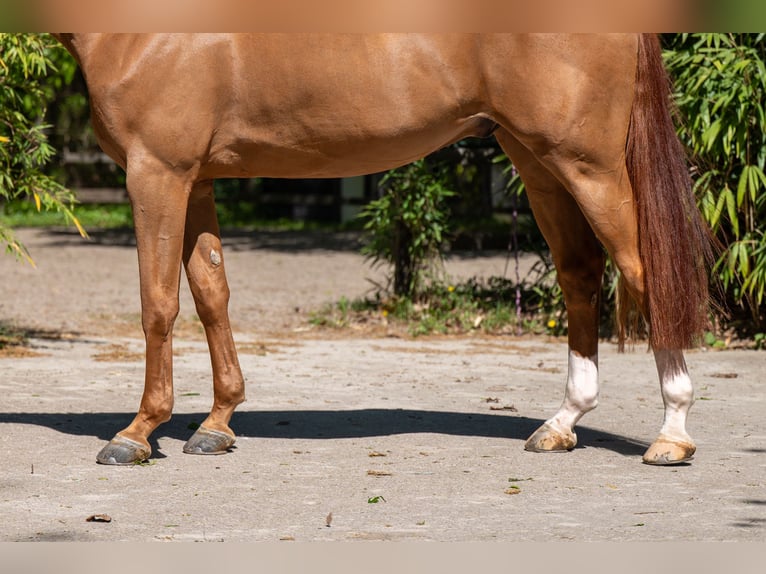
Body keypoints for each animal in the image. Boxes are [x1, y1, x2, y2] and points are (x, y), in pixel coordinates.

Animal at [53, 33, 712, 466]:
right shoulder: (198, 180)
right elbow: (211, 292)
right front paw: (216, 425)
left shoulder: (157, 173)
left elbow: (158, 304)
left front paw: (136, 433)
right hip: (538, 161)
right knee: (580, 274)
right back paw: (561, 424)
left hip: (588, 164)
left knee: (646, 275)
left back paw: (672, 435)